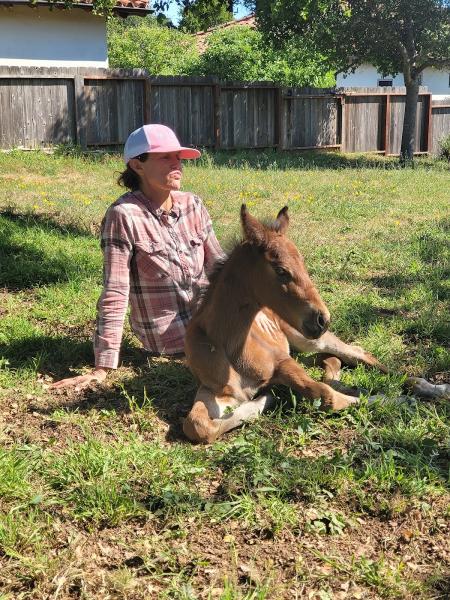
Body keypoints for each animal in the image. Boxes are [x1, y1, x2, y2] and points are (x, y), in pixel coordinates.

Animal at [184, 204, 450, 442]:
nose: (323, 319)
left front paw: (400, 400)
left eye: (303, 263)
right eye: (281, 270)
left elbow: (325, 395)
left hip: (308, 339)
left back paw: (435, 388)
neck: (229, 346)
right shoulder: (214, 390)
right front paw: (264, 399)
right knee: (333, 361)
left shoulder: (283, 362)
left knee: (358, 354)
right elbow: (196, 425)